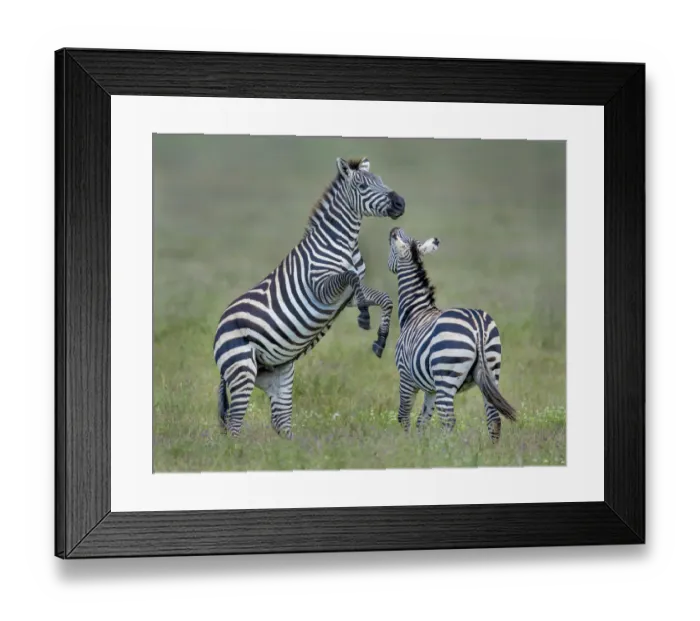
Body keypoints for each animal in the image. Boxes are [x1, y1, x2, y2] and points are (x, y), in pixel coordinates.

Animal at [214, 157, 405, 439]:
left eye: (381, 181)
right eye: (362, 186)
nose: (400, 203)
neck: (343, 243)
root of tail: (220, 326)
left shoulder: (347, 297)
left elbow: (384, 299)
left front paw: (380, 339)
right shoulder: (321, 286)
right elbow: (351, 277)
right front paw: (364, 316)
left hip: (277, 375)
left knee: (280, 422)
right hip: (241, 368)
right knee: (235, 423)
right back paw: (237, 450)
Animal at [387, 227, 517, 443]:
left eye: (390, 249)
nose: (395, 229)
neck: (416, 310)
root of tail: (477, 324)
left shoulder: (406, 376)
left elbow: (404, 416)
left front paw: (406, 444)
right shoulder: (430, 387)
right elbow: (422, 420)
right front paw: (420, 445)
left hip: (446, 375)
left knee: (448, 420)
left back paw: (446, 449)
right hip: (492, 371)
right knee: (494, 418)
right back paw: (492, 450)